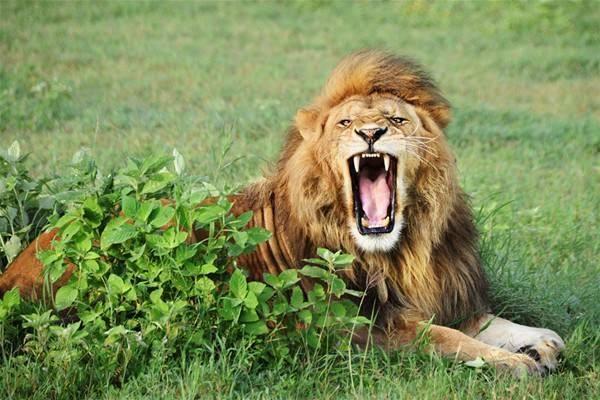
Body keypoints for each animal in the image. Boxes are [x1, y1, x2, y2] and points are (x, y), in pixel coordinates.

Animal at [0, 50, 564, 376]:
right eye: (346, 123)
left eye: (396, 119)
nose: (371, 133)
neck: (403, 251)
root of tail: (19, 261)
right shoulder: (352, 327)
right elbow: (445, 338)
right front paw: (515, 365)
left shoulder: (446, 292)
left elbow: (489, 321)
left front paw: (539, 343)